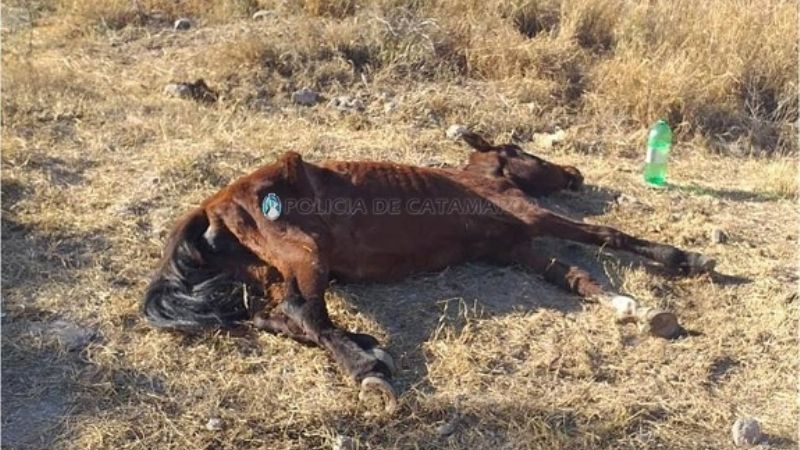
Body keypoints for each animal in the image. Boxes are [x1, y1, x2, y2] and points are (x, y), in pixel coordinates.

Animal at [142, 131, 715, 413]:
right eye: (519, 150)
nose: (575, 174)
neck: (477, 181)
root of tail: (212, 204)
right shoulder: (531, 218)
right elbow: (607, 235)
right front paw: (685, 261)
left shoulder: (517, 248)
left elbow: (575, 277)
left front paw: (629, 306)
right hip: (305, 255)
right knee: (302, 311)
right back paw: (367, 370)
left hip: (275, 274)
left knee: (274, 318)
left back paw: (369, 346)